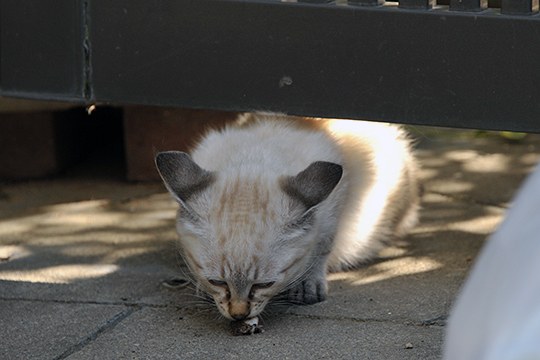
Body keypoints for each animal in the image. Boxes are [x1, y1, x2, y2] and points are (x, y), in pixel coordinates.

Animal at [154, 112, 420, 320]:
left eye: (264, 285)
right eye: (218, 282)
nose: (238, 315)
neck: (255, 156)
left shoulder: (336, 201)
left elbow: (321, 247)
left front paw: (307, 284)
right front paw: (201, 286)